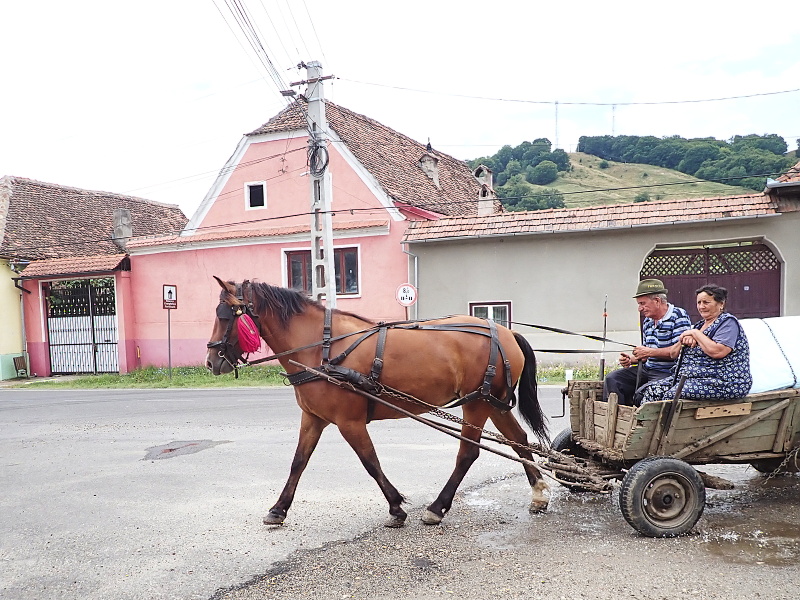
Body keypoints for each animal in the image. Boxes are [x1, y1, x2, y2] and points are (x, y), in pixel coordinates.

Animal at [205, 276, 552, 524]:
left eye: (224, 315)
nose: (211, 362)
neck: (323, 347)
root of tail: (504, 333)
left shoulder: (350, 422)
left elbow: (370, 461)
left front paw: (396, 507)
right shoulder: (313, 418)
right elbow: (298, 462)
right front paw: (279, 509)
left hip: (476, 404)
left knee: (468, 453)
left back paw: (437, 507)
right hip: (492, 403)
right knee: (519, 440)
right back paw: (538, 493)